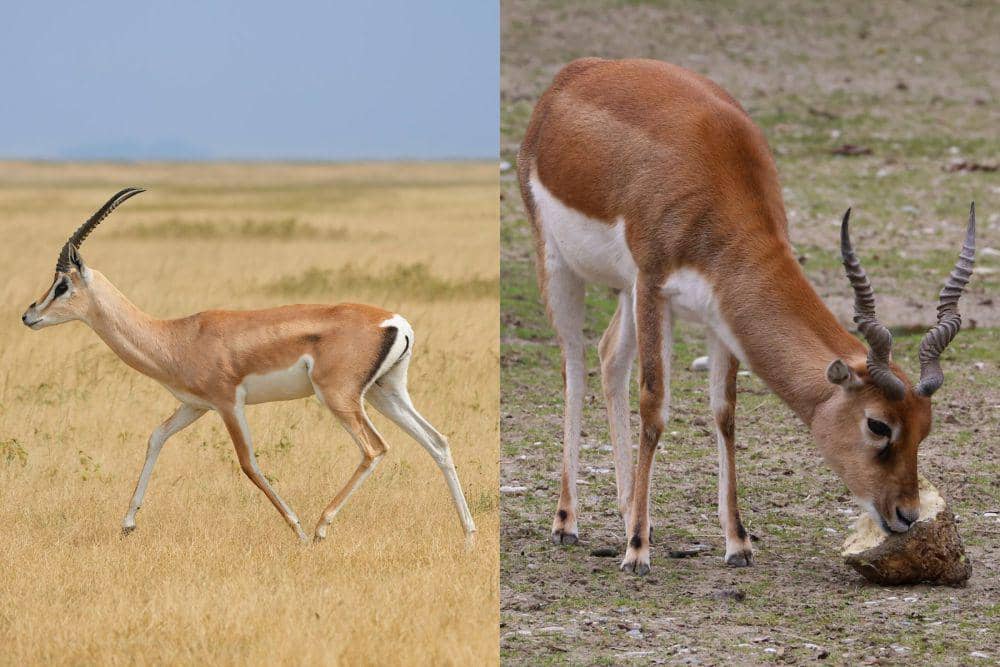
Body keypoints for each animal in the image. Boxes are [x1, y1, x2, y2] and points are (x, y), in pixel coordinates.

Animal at [21, 188, 476, 543]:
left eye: (62, 284)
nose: (29, 315)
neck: (176, 337)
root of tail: (395, 322)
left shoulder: (227, 404)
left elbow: (247, 463)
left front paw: (295, 528)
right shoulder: (194, 406)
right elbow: (155, 438)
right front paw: (128, 523)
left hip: (340, 397)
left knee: (374, 448)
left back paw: (320, 527)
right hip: (386, 393)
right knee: (437, 441)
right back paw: (468, 534)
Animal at [517, 58, 975, 575]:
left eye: (926, 427)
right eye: (877, 424)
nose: (906, 515)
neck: (715, 173)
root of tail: (574, 74)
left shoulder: (721, 312)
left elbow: (725, 413)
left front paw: (737, 542)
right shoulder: (654, 286)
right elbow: (654, 406)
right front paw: (637, 551)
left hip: (625, 289)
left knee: (610, 356)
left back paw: (629, 508)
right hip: (560, 265)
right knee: (574, 367)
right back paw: (567, 522)